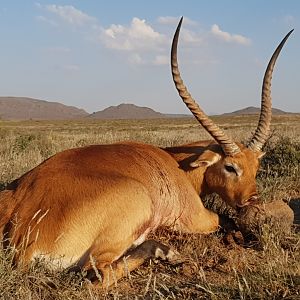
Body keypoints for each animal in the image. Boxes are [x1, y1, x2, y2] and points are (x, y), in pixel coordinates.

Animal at [0, 18, 292, 286]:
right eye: (230, 167)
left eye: (256, 168)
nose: (253, 200)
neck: (176, 163)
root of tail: (21, 236)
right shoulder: (197, 218)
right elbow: (222, 219)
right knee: (97, 273)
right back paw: (166, 251)